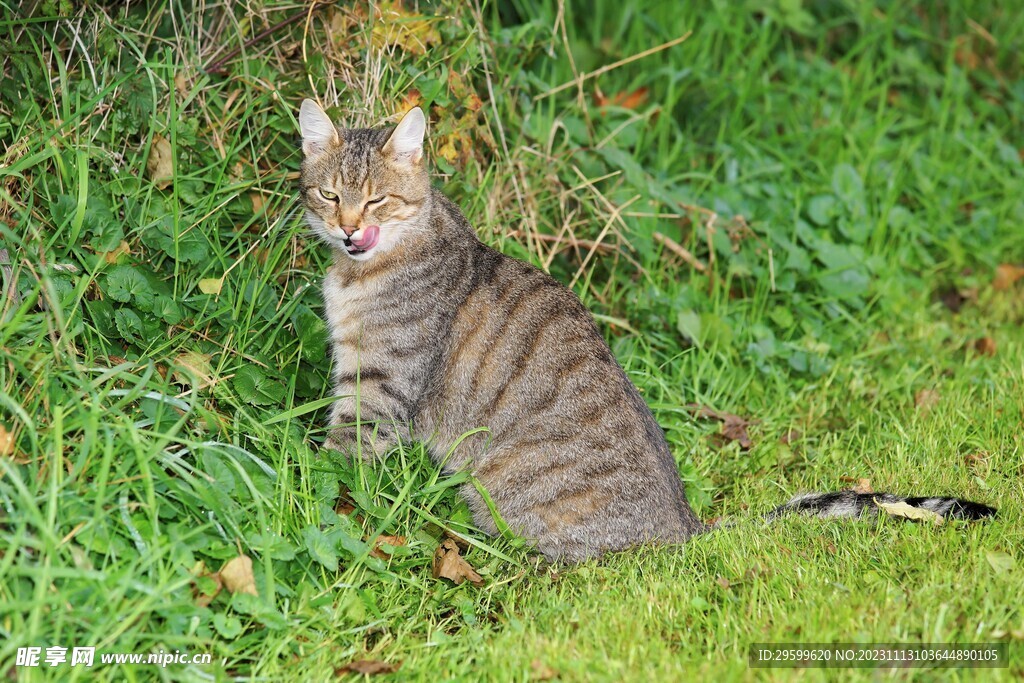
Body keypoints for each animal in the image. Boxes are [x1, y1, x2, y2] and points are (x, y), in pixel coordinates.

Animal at [294, 100, 991, 561]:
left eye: (377, 200)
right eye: (329, 196)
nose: (350, 229)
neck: (360, 273)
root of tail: (684, 524)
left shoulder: (380, 386)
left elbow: (341, 461)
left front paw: (317, 487)